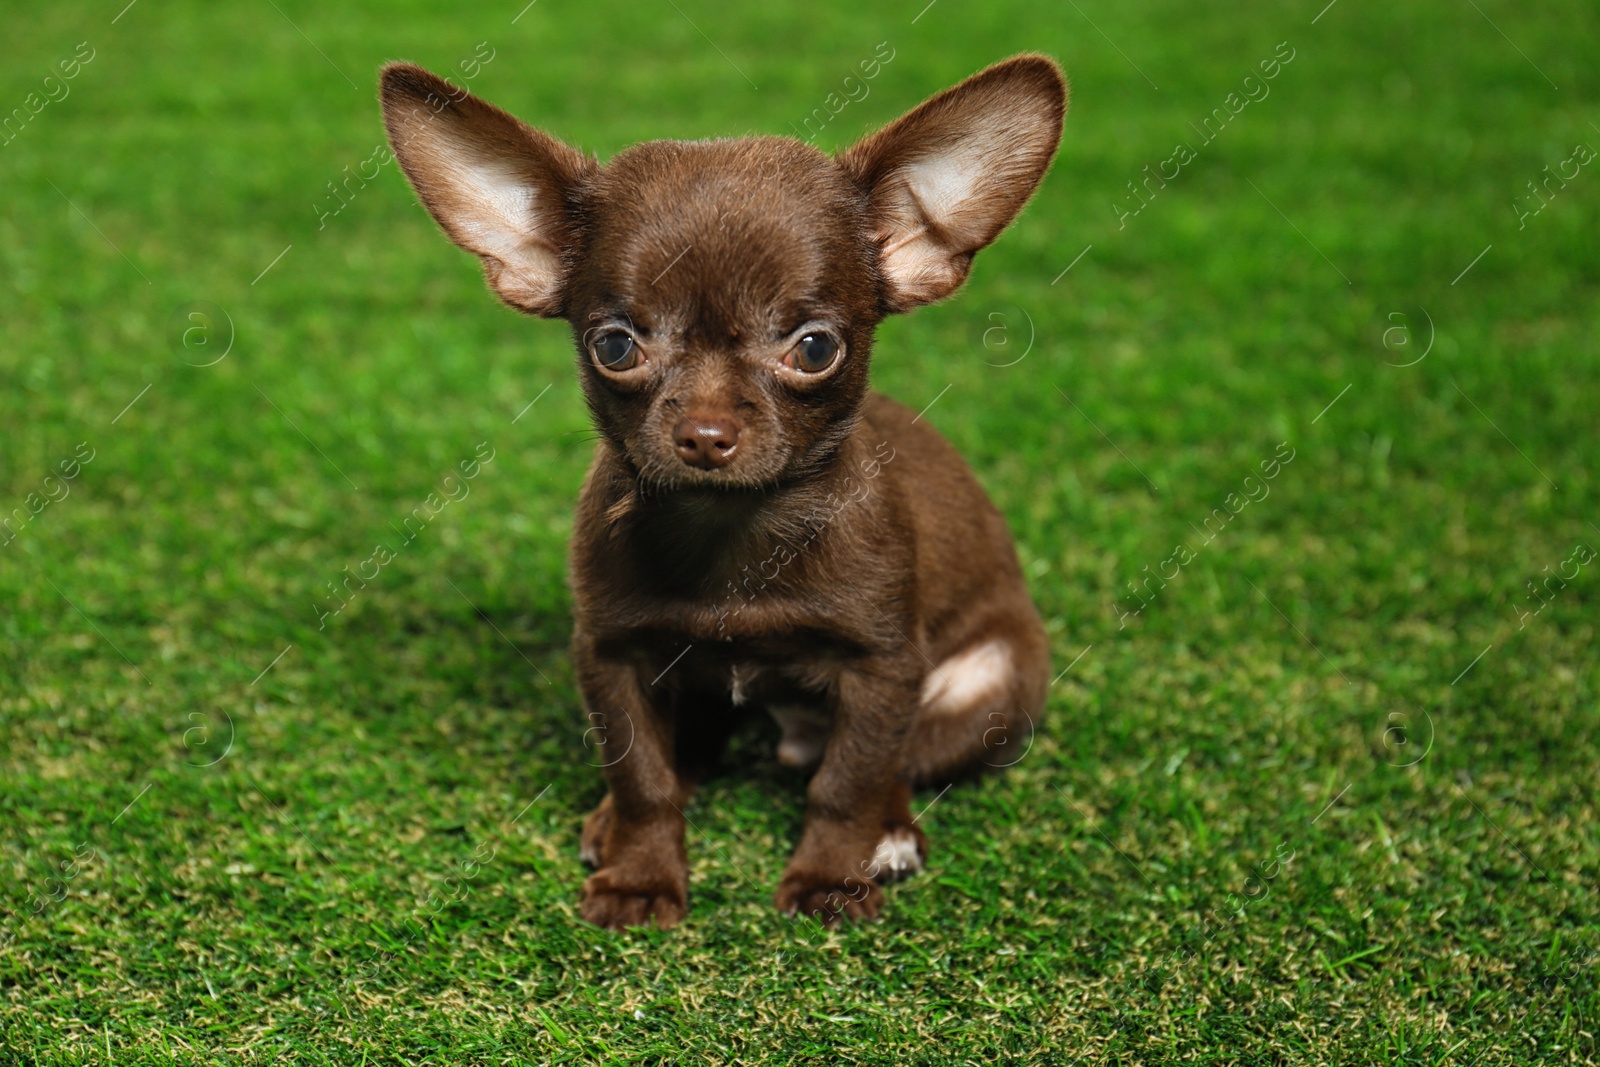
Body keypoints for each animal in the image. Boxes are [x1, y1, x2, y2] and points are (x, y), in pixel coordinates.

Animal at [380, 51, 1068, 927]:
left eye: (814, 348)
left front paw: (830, 876)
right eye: (615, 345)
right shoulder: (611, 656)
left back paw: (889, 836)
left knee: (897, 761)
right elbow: (642, 776)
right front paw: (640, 876)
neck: (732, 530)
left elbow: (848, 781)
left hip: (990, 687)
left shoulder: (883, 667)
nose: (706, 433)